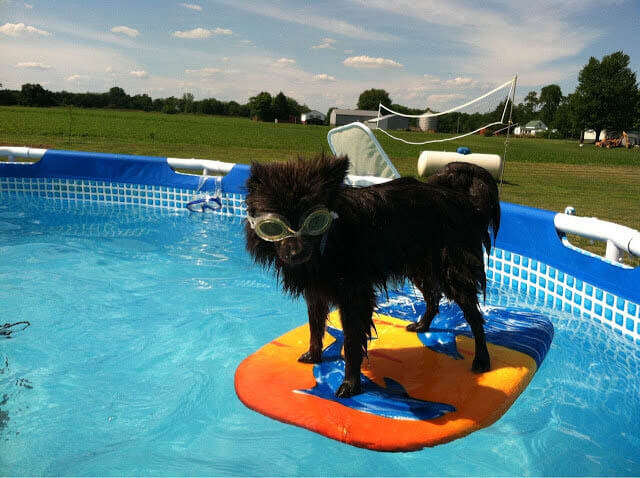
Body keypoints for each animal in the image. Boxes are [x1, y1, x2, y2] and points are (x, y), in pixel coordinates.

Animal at [245, 155, 500, 398]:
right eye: (273, 226)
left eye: (315, 221)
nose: (295, 253)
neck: (329, 242)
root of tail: (462, 200)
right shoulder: (316, 292)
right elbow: (315, 327)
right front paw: (314, 355)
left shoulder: (354, 296)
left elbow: (351, 342)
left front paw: (351, 383)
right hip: (418, 266)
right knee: (432, 297)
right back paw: (422, 325)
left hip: (453, 273)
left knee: (474, 316)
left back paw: (482, 359)